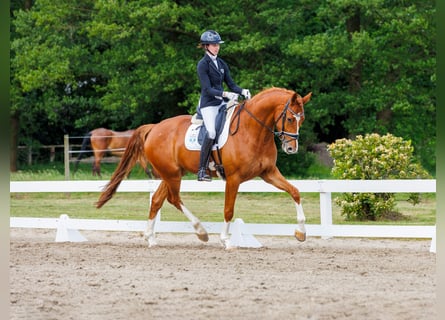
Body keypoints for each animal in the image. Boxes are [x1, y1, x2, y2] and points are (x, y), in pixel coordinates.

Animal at [97, 88, 312, 250]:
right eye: (290, 119)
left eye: (302, 120)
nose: (291, 149)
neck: (253, 130)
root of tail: (154, 127)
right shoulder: (233, 178)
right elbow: (228, 210)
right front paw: (226, 241)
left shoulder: (268, 173)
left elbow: (295, 192)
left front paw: (301, 232)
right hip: (172, 175)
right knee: (174, 199)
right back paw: (201, 231)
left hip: (172, 174)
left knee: (158, 200)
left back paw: (151, 238)